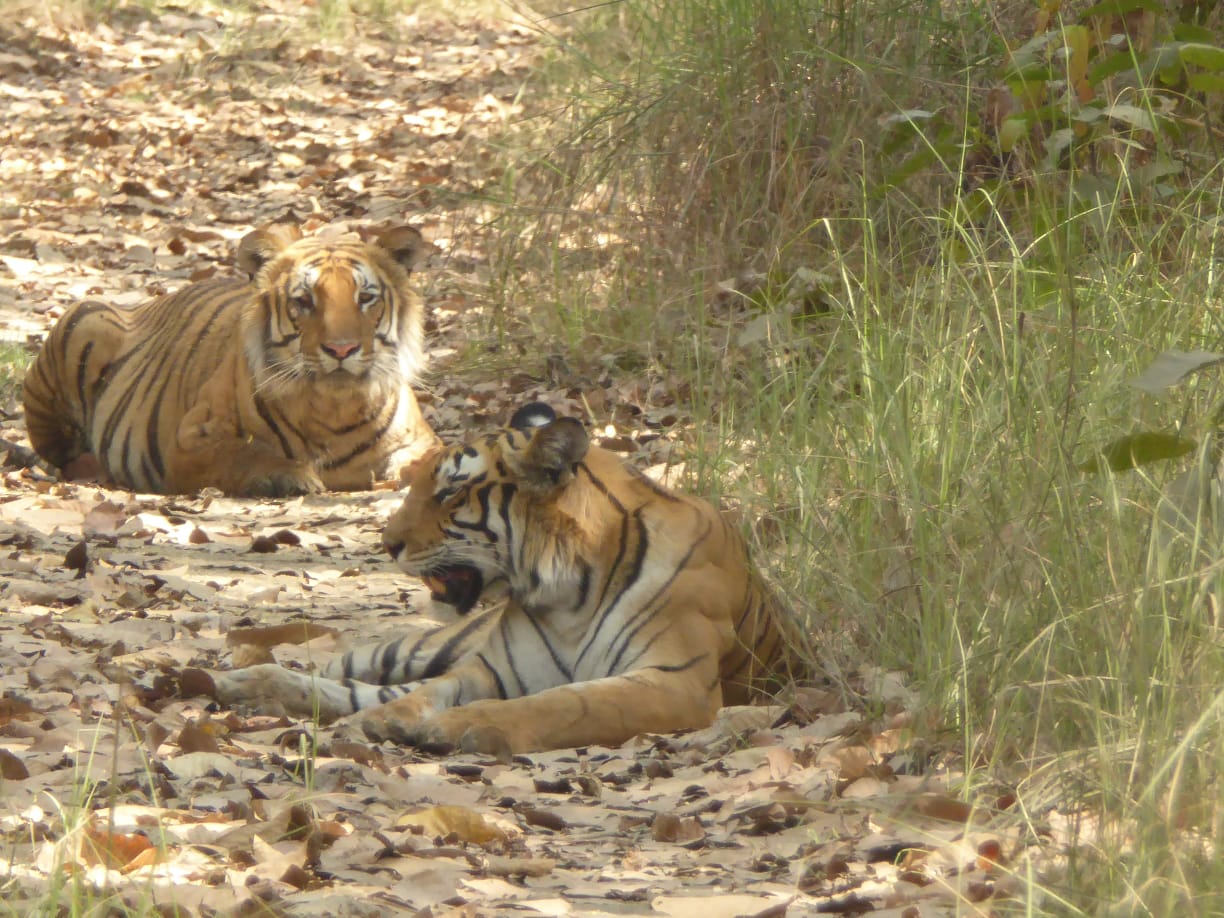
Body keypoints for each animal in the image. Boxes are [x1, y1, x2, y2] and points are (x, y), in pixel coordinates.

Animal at [21, 223, 439, 497]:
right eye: (304, 301)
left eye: (365, 298)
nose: (341, 349)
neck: (333, 410)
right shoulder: (190, 440)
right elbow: (243, 452)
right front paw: (292, 476)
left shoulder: (419, 440)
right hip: (86, 319)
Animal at [209, 402, 799, 755]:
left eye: (449, 491)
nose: (387, 542)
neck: (568, 594)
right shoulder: (488, 666)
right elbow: (431, 690)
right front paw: (393, 720)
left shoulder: (676, 680)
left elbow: (565, 703)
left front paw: (462, 727)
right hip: (426, 643)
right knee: (343, 669)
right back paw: (232, 681)